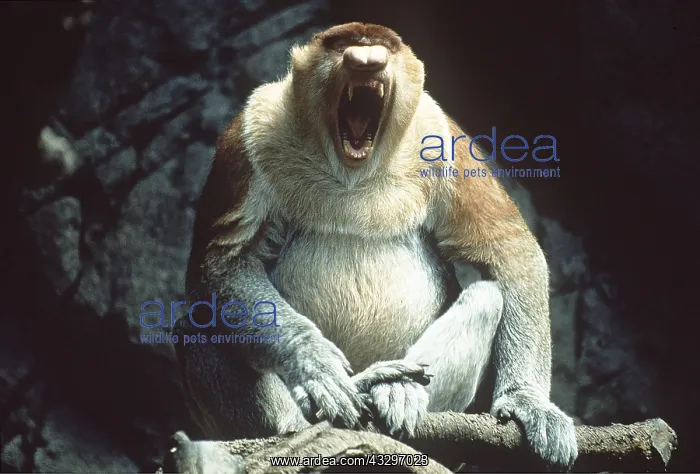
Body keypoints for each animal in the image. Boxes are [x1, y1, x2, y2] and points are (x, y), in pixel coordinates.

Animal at [173, 22, 578, 471]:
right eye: (342, 47)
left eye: (383, 47)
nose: (366, 61)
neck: (350, 171)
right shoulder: (250, 130)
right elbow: (223, 260)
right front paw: (316, 367)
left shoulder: (441, 134)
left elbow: (508, 249)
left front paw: (530, 405)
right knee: (198, 322)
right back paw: (301, 421)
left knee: (487, 296)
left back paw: (396, 391)